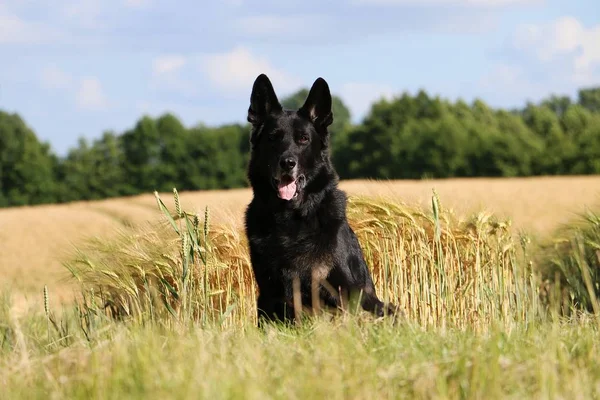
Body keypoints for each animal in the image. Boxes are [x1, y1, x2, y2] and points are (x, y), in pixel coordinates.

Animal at [244, 74, 394, 324]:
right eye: (273, 138)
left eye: (304, 139)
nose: (287, 163)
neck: (291, 217)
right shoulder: (269, 294)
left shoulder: (347, 291)